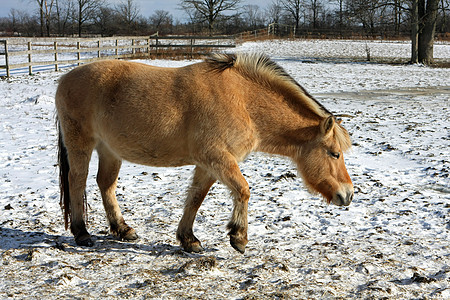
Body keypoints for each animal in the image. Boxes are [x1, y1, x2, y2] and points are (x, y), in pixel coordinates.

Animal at [55, 53, 352, 253]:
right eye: (334, 154)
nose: (348, 195)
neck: (243, 101)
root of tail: (65, 78)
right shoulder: (218, 158)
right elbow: (243, 190)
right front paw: (238, 237)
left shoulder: (209, 165)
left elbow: (196, 198)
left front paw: (188, 239)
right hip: (81, 144)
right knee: (77, 181)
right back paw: (82, 233)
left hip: (109, 150)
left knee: (105, 184)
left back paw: (122, 229)